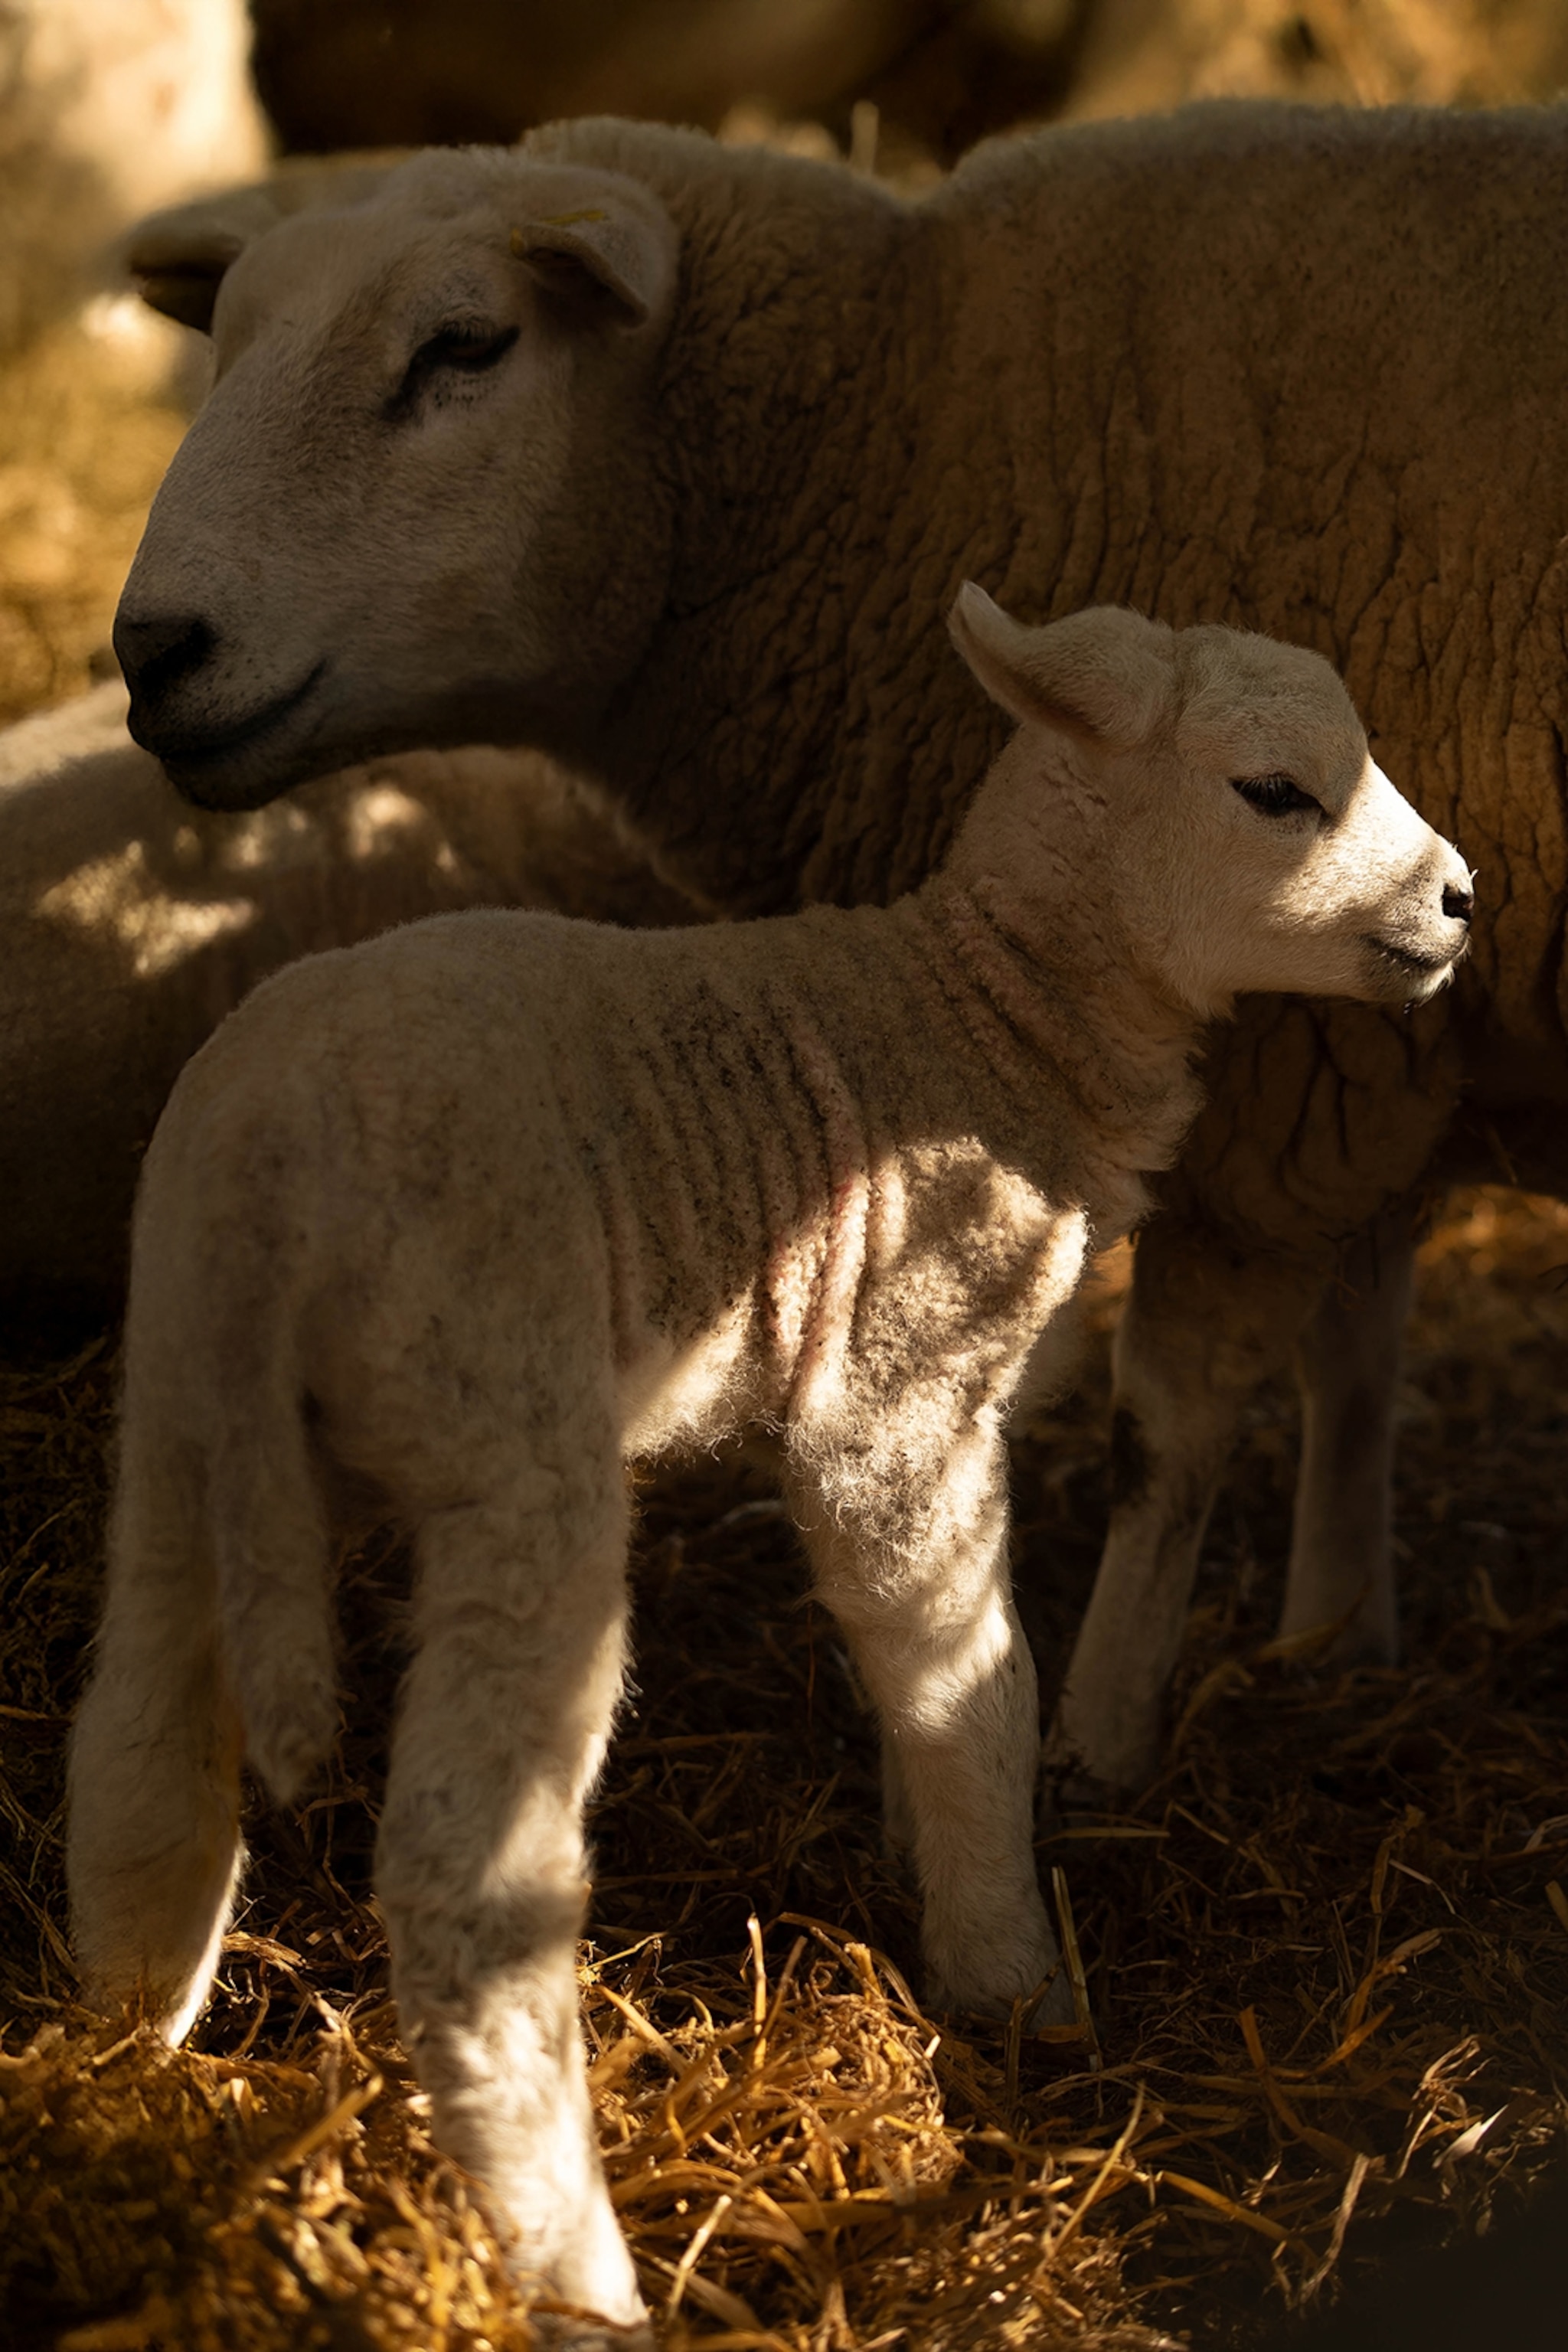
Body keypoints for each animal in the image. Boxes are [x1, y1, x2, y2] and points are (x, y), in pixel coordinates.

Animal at [67, 592, 1473, 2334]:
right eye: (1273, 792)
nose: (1462, 903)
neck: (991, 1013)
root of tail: (272, 1175)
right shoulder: (898, 1390)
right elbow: (974, 1687)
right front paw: (1011, 1976)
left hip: (186, 1405)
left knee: (138, 1742)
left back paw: (126, 2066)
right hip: (502, 1421)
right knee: (471, 1880)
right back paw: (575, 2270)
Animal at [100, 102, 1568, 1792]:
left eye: (464, 345)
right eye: (225, 340)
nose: (152, 651)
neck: (908, 424)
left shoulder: (1293, 1071)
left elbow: (1170, 1434)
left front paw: (1100, 1737)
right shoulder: (1383, 1047)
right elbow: (1359, 1356)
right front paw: (1334, 1635)